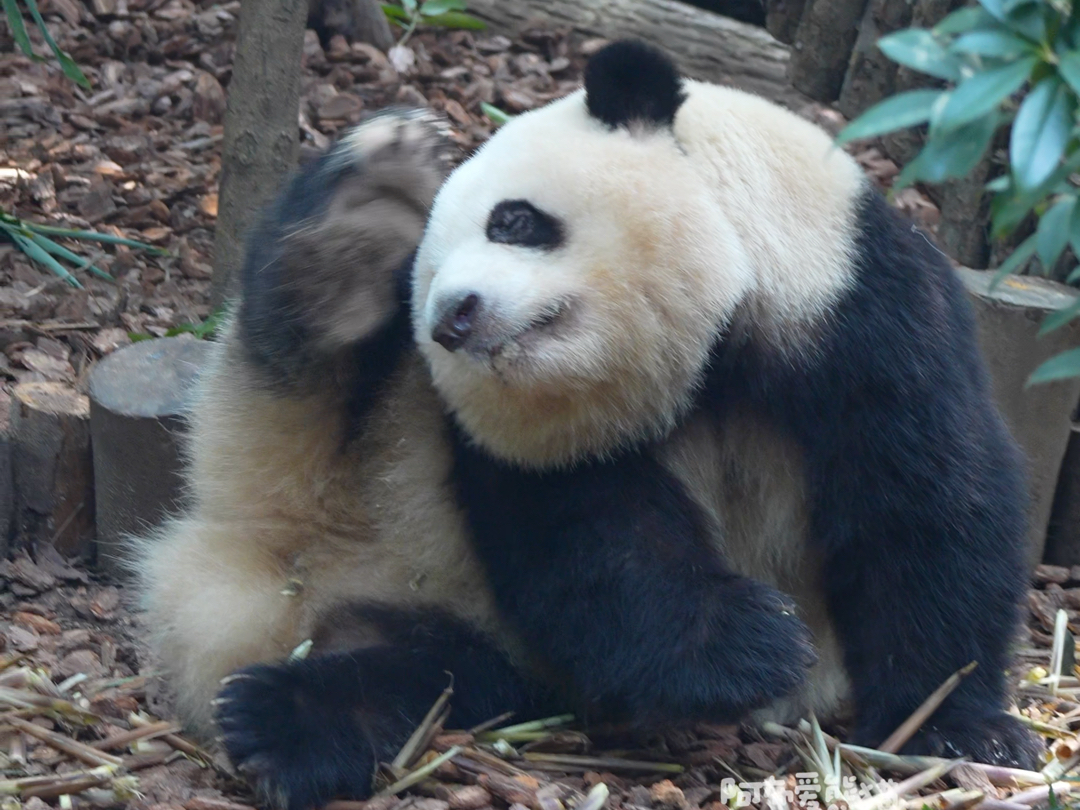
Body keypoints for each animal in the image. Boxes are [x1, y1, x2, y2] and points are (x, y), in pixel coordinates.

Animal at [132, 41, 1036, 810]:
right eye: (428, 287)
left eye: (513, 220)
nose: (450, 320)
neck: (716, 347)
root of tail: (283, 574)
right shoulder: (512, 446)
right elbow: (591, 543)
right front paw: (751, 641)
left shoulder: (860, 308)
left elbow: (926, 512)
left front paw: (954, 726)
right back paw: (342, 250)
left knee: (432, 677)